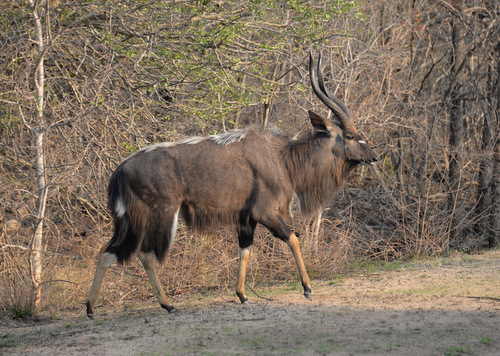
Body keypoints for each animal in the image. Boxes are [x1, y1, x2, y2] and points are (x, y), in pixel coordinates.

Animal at [86, 52, 376, 318]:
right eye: (351, 136)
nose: (374, 156)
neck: (284, 159)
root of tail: (120, 170)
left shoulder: (245, 219)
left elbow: (244, 250)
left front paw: (243, 295)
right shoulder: (264, 213)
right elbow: (292, 237)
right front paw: (307, 289)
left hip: (129, 221)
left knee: (107, 250)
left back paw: (90, 308)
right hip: (161, 214)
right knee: (144, 253)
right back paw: (167, 305)